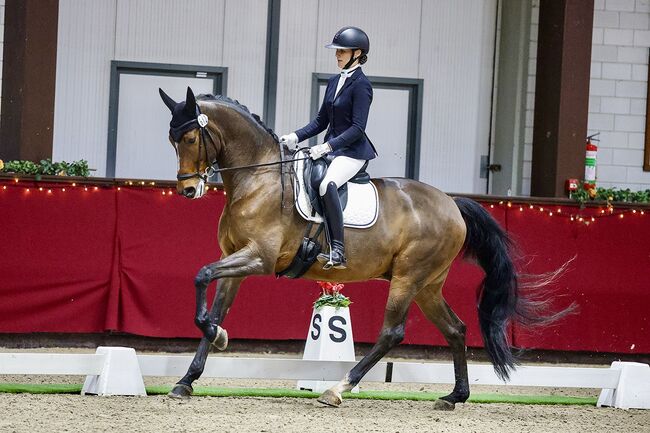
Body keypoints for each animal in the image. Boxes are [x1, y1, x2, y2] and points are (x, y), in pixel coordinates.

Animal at [158, 86, 563, 410]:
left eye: (190, 139)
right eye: (171, 140)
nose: (187, 190)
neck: (259, 177)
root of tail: (452, 203)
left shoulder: (259, 257)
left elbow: (201, 276)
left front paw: (217, 338)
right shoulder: (235, 257)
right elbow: (215, 307)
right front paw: (188, 377)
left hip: (408, 277)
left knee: (392, 333)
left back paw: (338, 389)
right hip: (428, 285)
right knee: (456, 329)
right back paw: (454, 396)